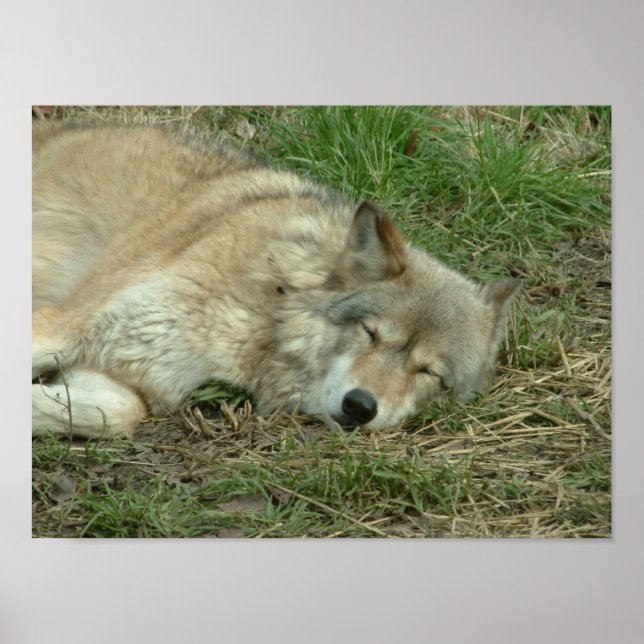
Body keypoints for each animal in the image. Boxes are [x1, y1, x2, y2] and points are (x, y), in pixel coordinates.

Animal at [32, 122, 519, 438]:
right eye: (370, 334)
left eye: (429, 372)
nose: (361, 407)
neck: (264, 317)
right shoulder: (63, 325)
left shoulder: (127, 375)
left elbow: (117, 414)